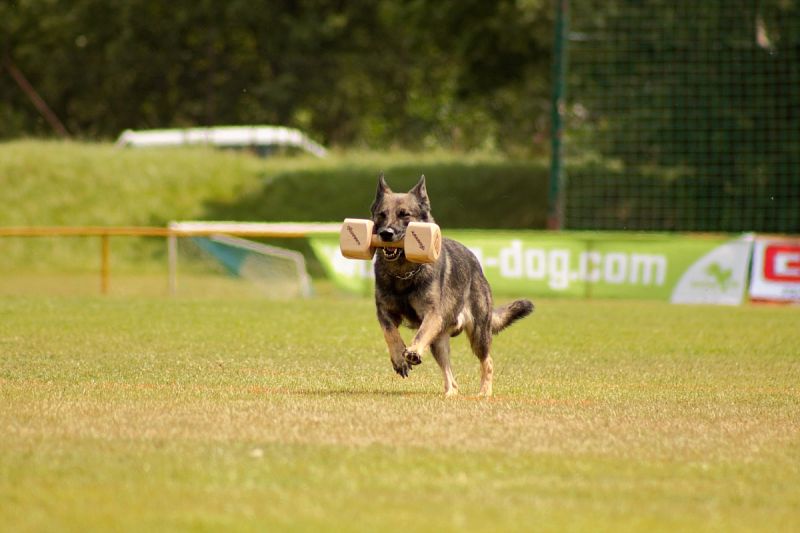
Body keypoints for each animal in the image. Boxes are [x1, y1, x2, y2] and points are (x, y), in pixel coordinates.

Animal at [372, 175, 536, 394]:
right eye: (381, 215)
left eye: (404, 215)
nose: (386, 233)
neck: (403, 273)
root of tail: (477, 267)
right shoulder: (385, 313)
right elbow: (390, 334)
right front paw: (399, 358)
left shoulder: (432, 314)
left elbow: (420, 334)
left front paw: (413, 351)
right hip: (439, 342)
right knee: (450, 375)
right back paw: (450, 393)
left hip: (478, 334)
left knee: (488, 362)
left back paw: (484, 392)